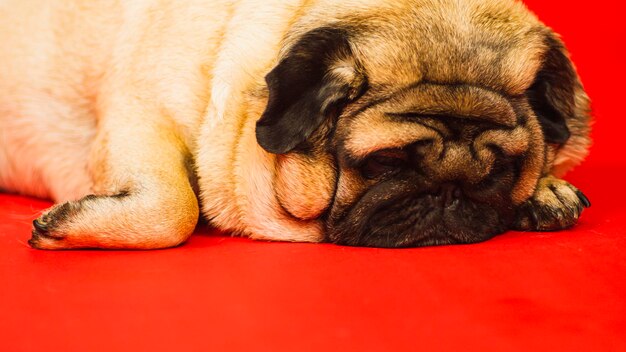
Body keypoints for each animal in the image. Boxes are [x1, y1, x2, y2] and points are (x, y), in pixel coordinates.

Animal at [0, 0, 588, 250]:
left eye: (499, 170)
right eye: (386, 162)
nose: (451, 192)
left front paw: (546, 190)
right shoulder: (139, 112)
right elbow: (177, 208)